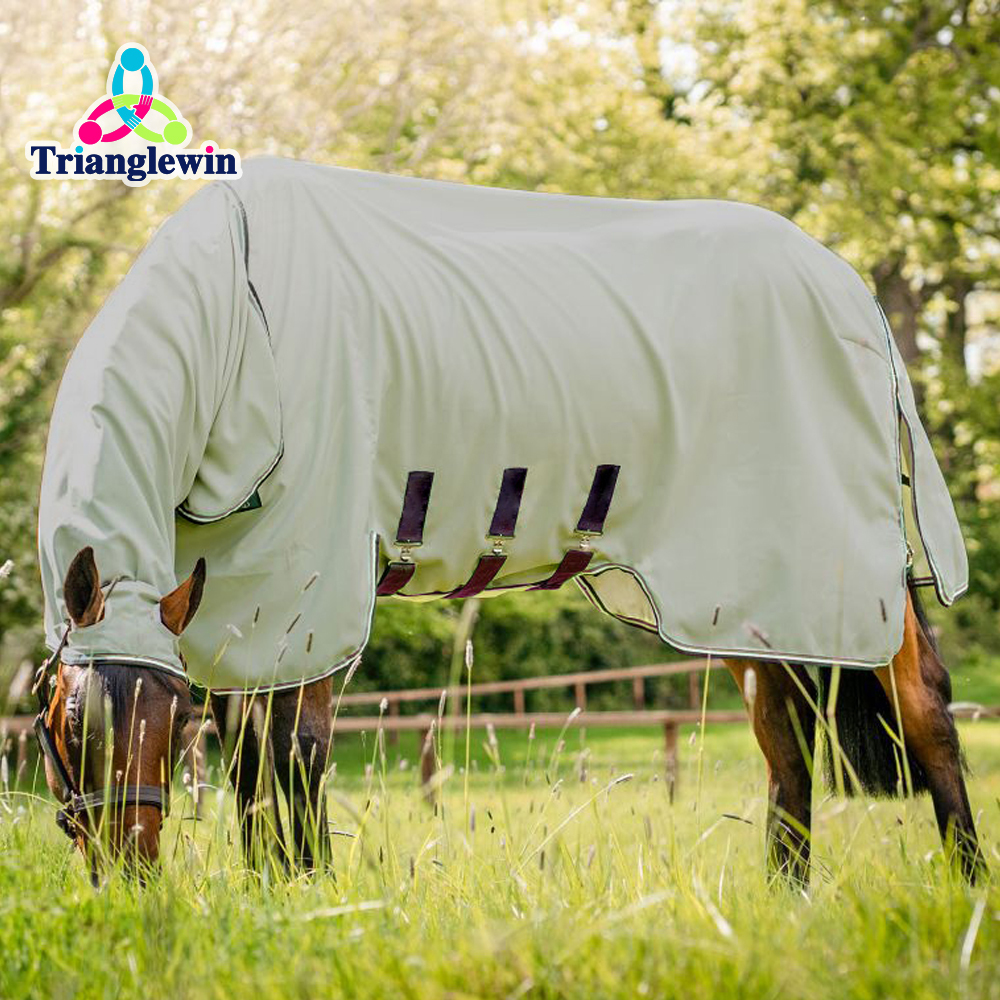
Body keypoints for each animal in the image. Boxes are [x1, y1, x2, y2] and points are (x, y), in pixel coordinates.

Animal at [35, 158, 981, 879]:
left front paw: (305, 896)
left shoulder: (309, 596)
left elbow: (291, 764)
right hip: (749, 598)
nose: (127, 874)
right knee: (787, 746)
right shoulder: (235, 610)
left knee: (925, 709)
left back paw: (965, 890)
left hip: (845, 570)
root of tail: (851, 291)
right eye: (67, 723)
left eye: (163, 723)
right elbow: (248, 778)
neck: (242, 322)